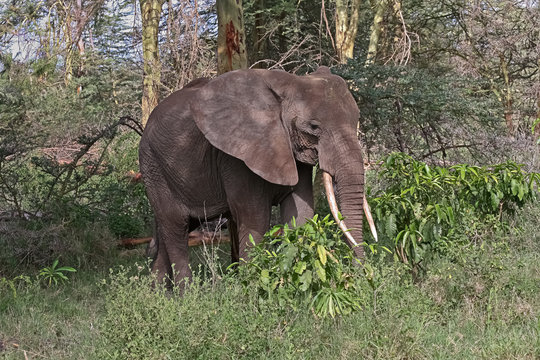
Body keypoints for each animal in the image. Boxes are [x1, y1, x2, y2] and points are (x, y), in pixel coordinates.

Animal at [139, 65, 376, 284]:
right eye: (313, 127)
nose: (361, 277)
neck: (290, 82)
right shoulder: (237, 156)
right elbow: (255, 218)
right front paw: (251, 289)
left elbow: (300, 213)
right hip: (154, 166)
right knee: (175, 226)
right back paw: (186, 294)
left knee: (171, 229)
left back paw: (159, 294)